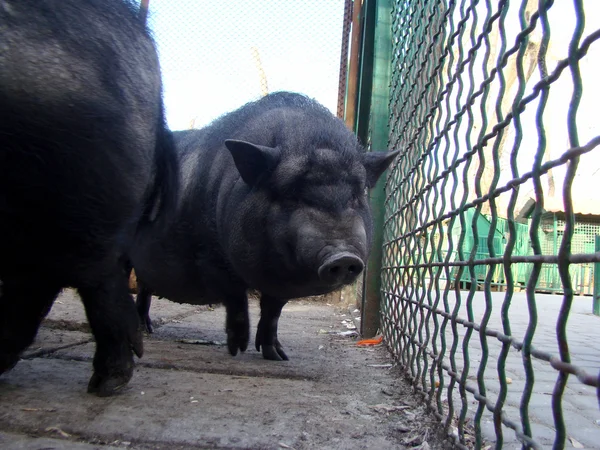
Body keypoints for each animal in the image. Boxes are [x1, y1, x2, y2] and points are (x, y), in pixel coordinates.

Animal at [130, 90, 398, 358]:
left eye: (356, 195)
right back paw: (143, 331)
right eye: (291, 194)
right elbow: (236, 299)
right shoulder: (209, 256)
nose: (343, 257)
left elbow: (273, 311)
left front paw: (278, 356)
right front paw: (237, 349)